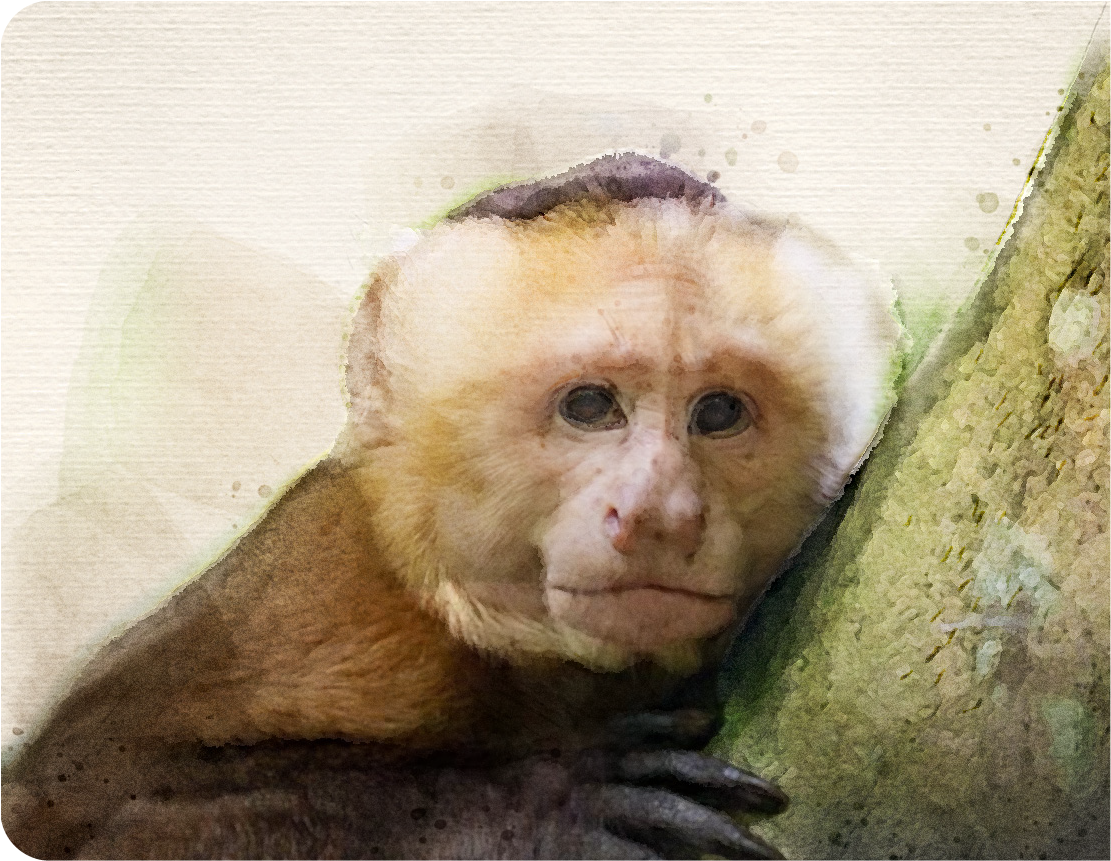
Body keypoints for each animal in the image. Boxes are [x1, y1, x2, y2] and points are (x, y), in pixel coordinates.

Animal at [2, 153, 901, 861]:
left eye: (717, 413)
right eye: (588, 406)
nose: (659, 512)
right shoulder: (337, 580)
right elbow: (69, 800)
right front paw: (537, 806)